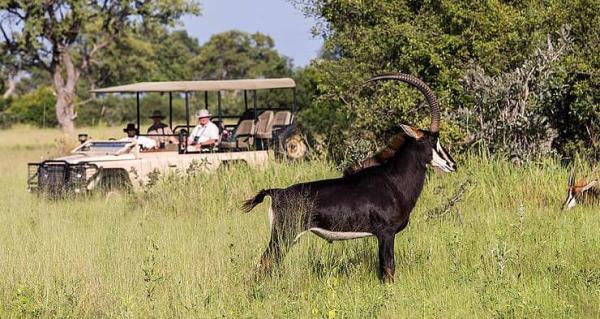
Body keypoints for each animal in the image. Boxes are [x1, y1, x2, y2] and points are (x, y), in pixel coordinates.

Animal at [241, 73, 458, 282]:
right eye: (432, 142)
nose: (452, 165)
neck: (393, 181)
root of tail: (277, 192)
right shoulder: (386, 234)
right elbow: (388, 270)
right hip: (284, 235)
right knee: (266, 262)